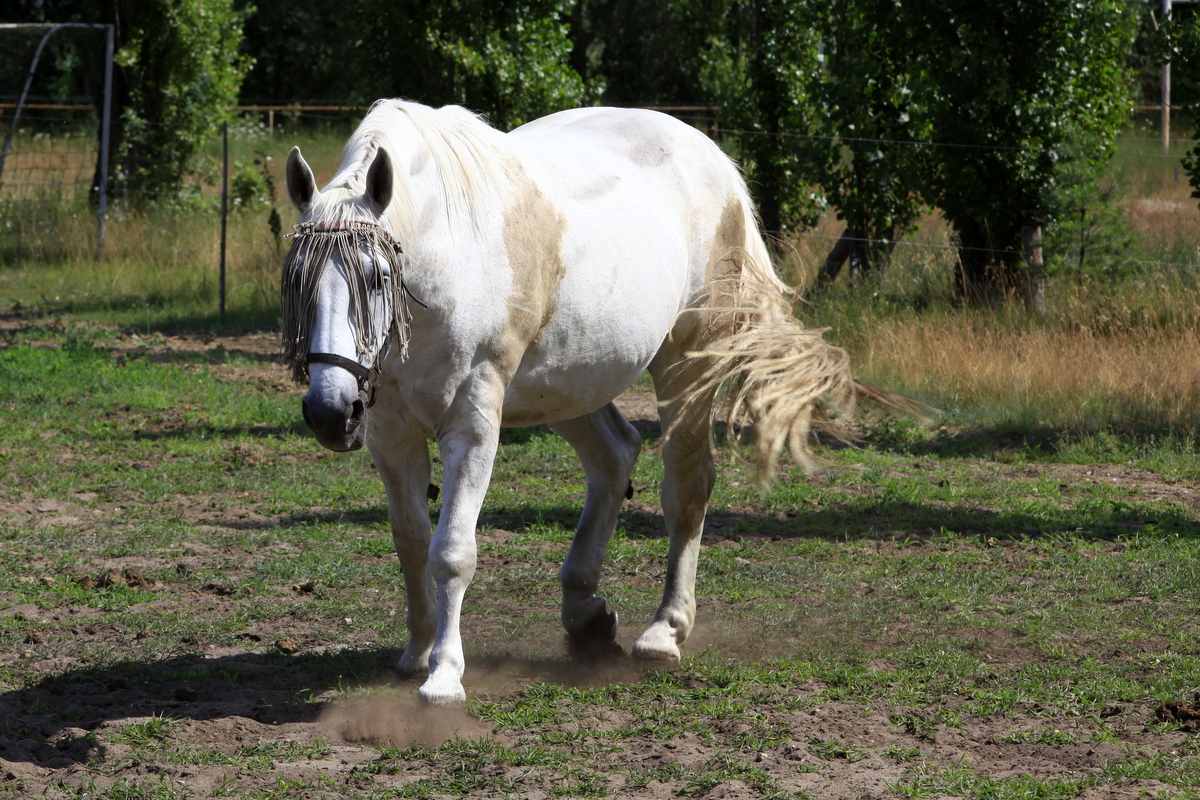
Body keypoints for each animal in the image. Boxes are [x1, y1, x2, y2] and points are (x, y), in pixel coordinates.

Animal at [280, 98, 892, 700]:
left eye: (378, 277)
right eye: (296, 281)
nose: (330, 413)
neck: (443, 263)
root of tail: (714, 160)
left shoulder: (472, 425)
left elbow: (452, 551)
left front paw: (444, 676)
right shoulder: (389, 432)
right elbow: (410, 541)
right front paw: (416, 653)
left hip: (686, 368)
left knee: (686, 486)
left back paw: (664, 632)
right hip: (568, 388)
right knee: (614, 456)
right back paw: (586, 614)